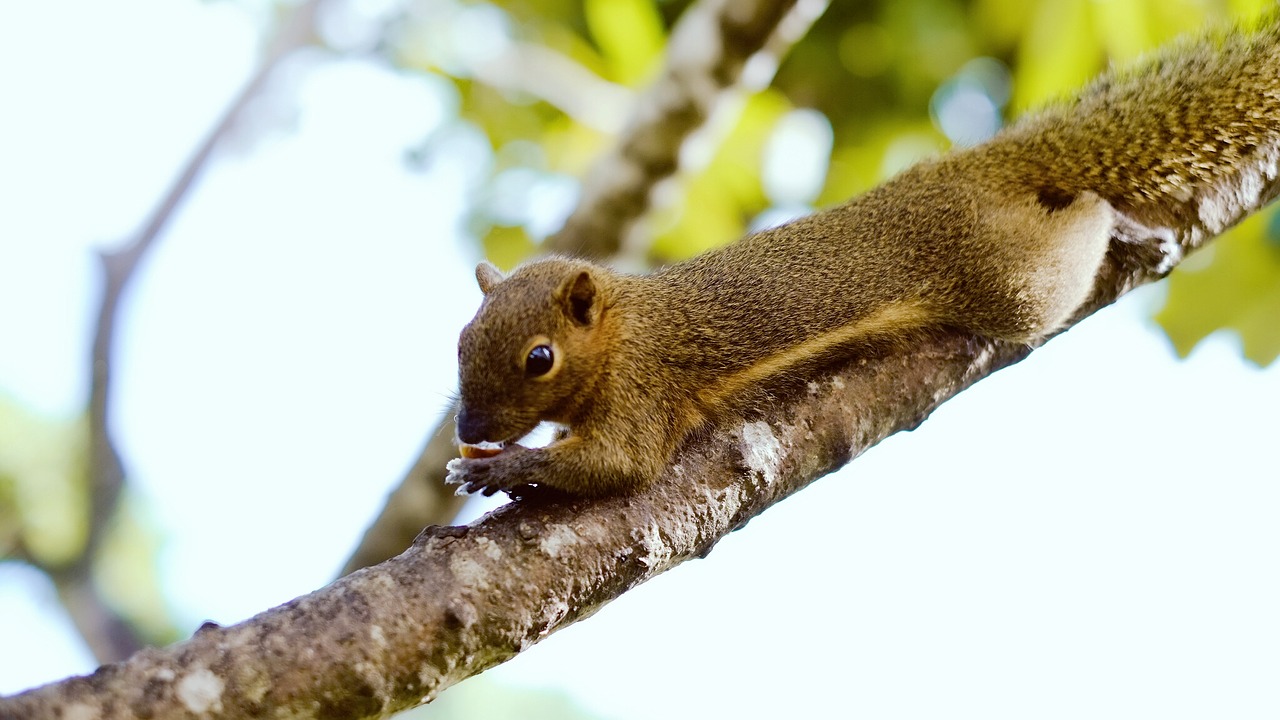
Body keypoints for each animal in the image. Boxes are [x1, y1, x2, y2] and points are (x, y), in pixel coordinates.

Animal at [445, 19, 1280, 497]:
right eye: (459, 340)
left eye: (540, 358)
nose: (469, 426)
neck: (620, 329)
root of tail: (973, 168)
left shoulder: (646, 386)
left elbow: (620, 465)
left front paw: (498, 468)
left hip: (1010, 280)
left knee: (1075, 231)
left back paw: (1118, 223)